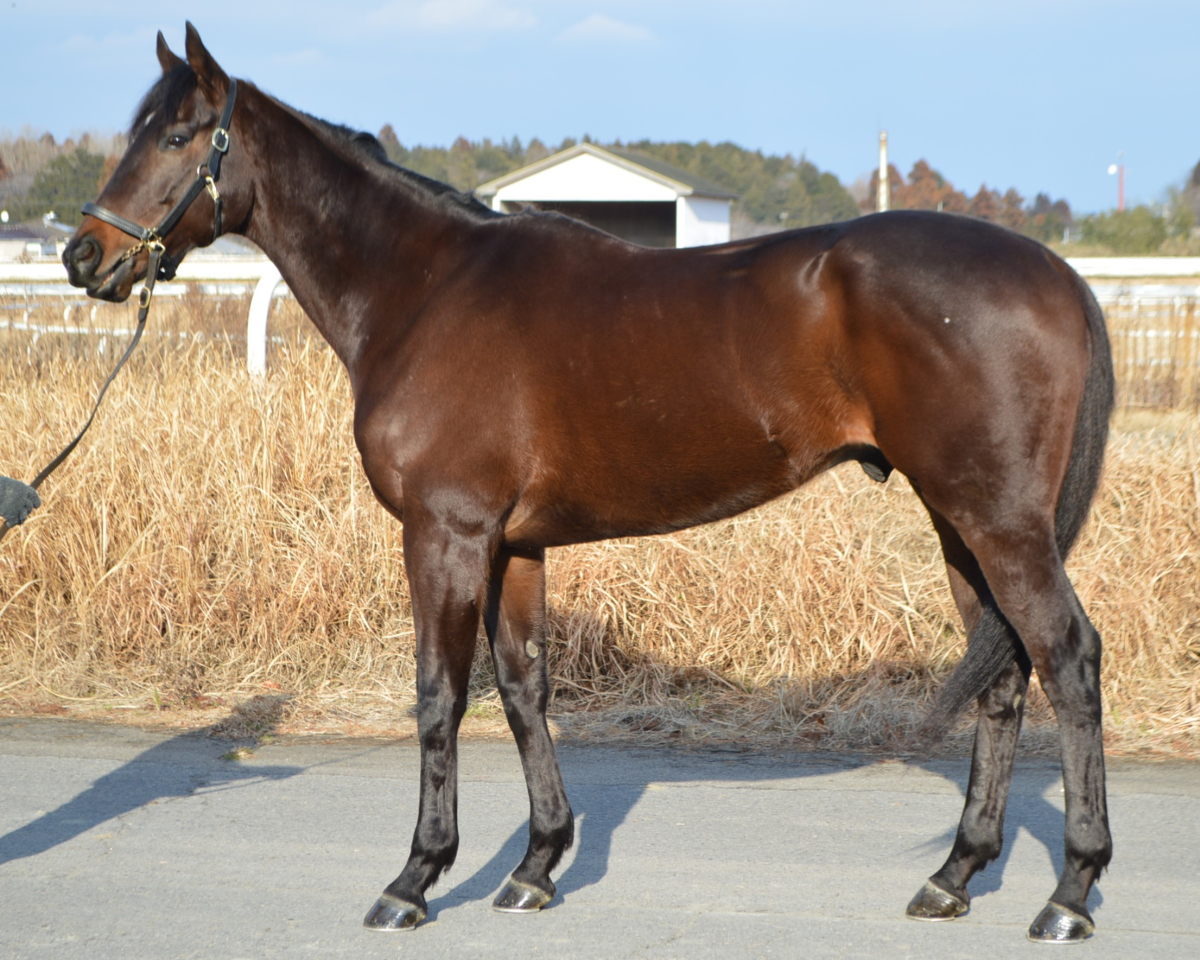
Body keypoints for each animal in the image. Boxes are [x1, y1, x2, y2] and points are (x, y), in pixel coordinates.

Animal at [62, 24, 1114, 943]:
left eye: (176, 134)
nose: (85, 257)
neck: (427, 290)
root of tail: (1058, 273)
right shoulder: (515, 544)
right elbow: (525, 688)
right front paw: (535, 867)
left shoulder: (445, 533)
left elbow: (440, 696)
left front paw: (415, 879)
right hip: (958, 522)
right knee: (1005, 676)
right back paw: (953, 876)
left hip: (998, 521)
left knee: (1066, 656)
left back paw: (1069, 892)